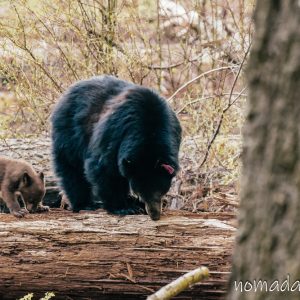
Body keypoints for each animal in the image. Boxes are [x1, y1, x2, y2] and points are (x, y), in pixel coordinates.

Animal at [50, 75, 182, 220]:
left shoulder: (174, 132)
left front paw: (136, 204)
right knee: (72, 169)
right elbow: (104, 168)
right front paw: (123, 208)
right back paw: (85, 204)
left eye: (160, 191)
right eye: (140, 191)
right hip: (69, 133)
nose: (154, 215)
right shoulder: (114, 133)